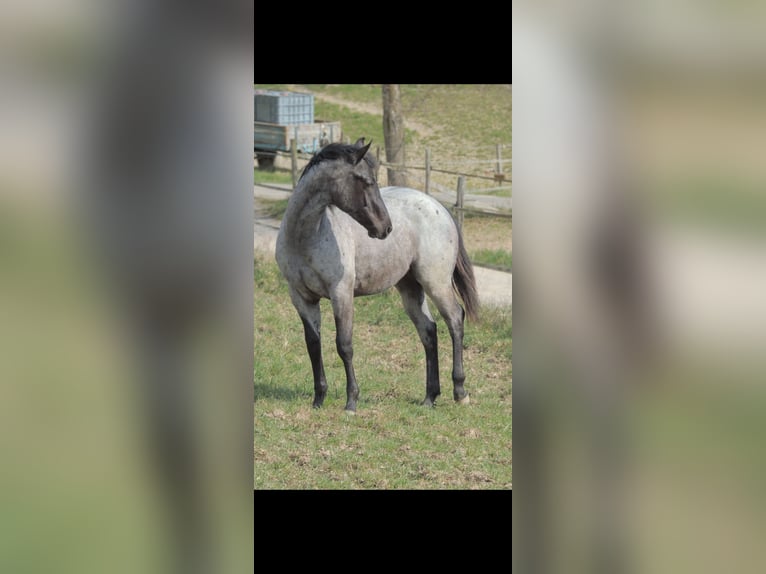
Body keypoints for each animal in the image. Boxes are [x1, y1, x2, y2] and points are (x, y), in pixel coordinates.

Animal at [275, 138, 480, 412]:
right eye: (366, 181)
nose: (386, 227)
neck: (305, 237)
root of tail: (440, 208)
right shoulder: (301, 297)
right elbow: (313, 344)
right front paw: (318, 399)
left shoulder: (341, 293)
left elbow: (344, 345)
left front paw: (351, 402)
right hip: (410, 287)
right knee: (429, 330)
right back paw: (429, 397)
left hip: (436, 283)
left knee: (455, 320)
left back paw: (460, 391)